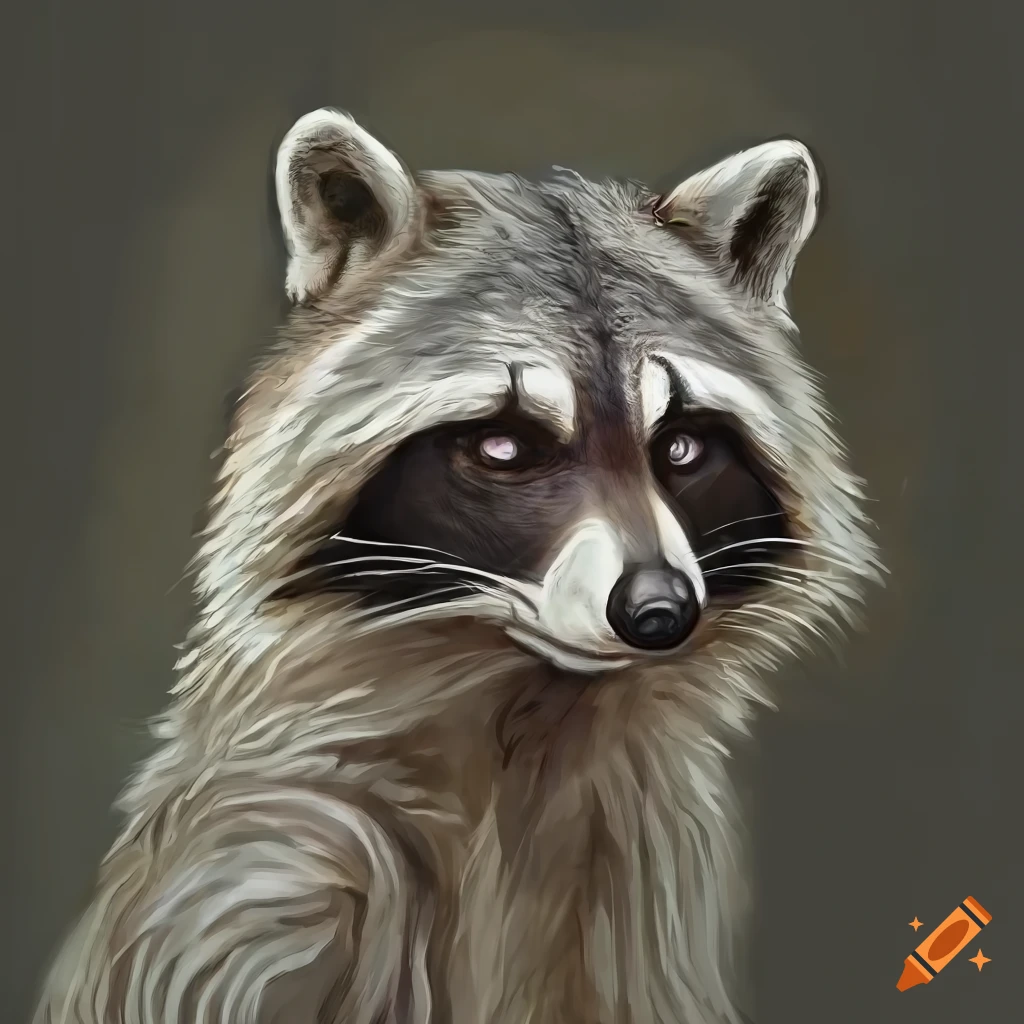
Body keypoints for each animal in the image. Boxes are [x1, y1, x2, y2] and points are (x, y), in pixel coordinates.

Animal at [33, 109, 880, 1024]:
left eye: (682, 448)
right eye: (505, 447)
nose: (659, 611)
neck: (529, 709)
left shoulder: (641, 893)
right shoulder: (259, 876)